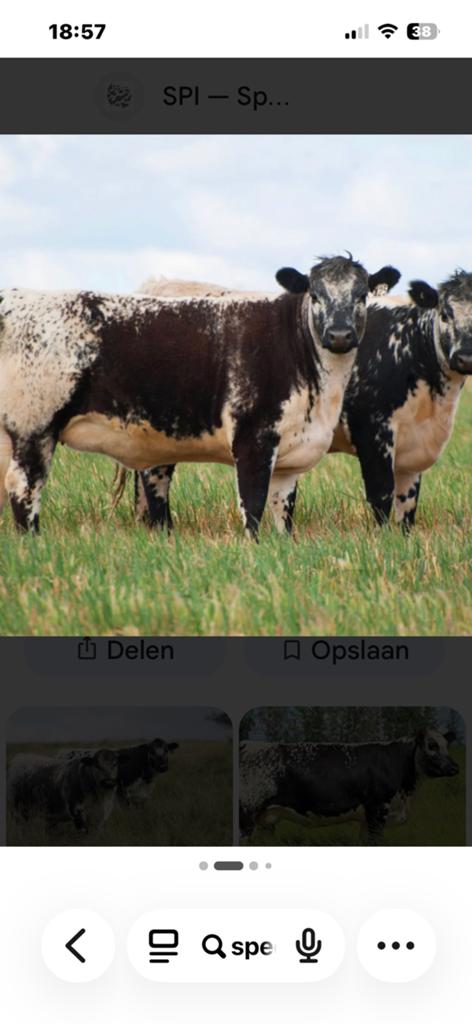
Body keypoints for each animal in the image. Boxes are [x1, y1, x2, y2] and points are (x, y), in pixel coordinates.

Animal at [0, 256, 399, 537]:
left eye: (361, 295)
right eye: (315, 295)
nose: (339, 335)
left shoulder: (290, 450)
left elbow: (283, 513)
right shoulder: (253, 439)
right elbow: (252, 506)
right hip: (34, 427)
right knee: (24, 489)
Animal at [239, 729, 459, 845]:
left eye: (447, 746)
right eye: (431, 746)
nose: (454, 767)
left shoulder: (366, 819)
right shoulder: (378, 810)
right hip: (247, 813)